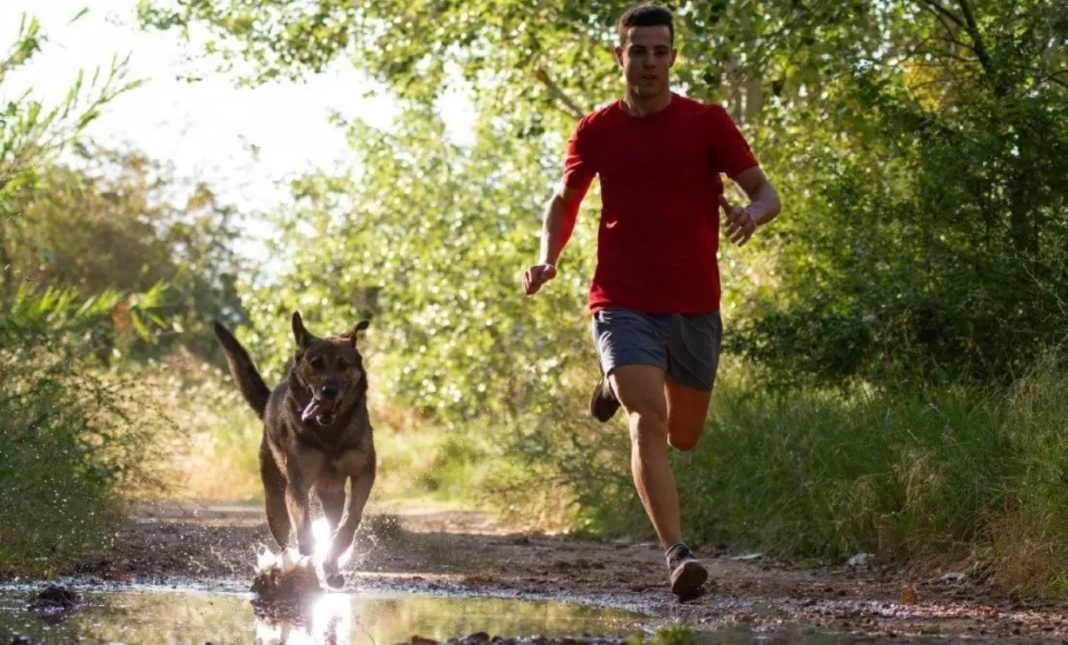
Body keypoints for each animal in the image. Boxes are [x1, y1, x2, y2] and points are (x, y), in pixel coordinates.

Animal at [212, 311, 375, 589]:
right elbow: (302, 518)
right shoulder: (298, 481)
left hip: (332, 495)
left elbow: (351, 518)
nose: (329, 391)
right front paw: (308, 544)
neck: (330, 433)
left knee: (333, 522)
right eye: (315, 363)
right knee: (285, 539)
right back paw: (290, 568)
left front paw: (337, 548)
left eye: (343, 365)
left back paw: (330, 567)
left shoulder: (364, 473)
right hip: (274, 499)